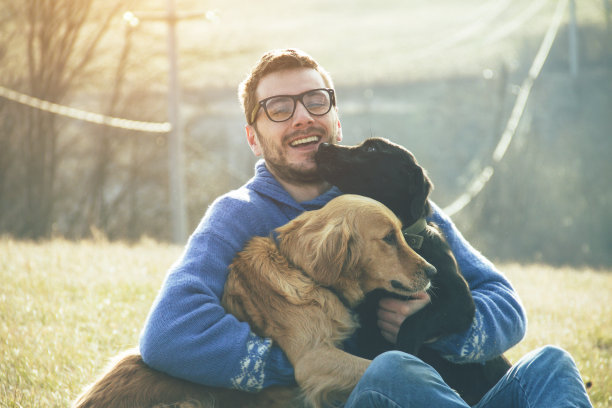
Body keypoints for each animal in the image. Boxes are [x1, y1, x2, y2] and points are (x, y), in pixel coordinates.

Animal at [316, 137, 512, 404]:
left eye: (372, 148)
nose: (322, 146)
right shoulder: (368, 323)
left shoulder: (460, 302)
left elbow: (413, 322)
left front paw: (404, 353)